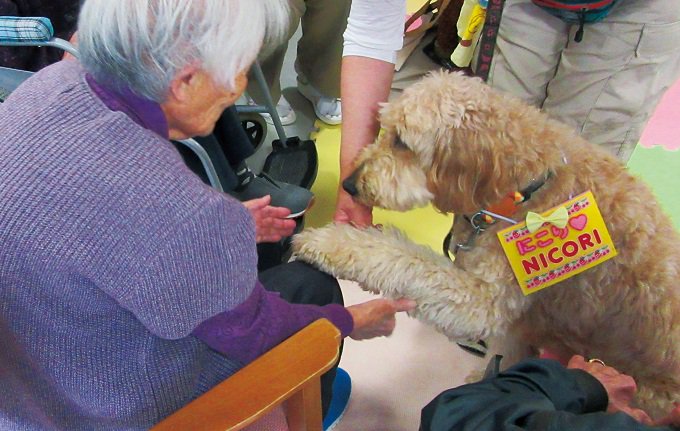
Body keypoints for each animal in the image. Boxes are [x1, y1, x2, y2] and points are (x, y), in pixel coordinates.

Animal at [294, 71, 680, 418]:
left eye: (402, 142)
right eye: (383, 128)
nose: (350, 184)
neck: (520, 189)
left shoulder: (483, 301)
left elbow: (401, 257)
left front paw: (328, 241)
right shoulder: (516, 322)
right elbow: (509, 357)